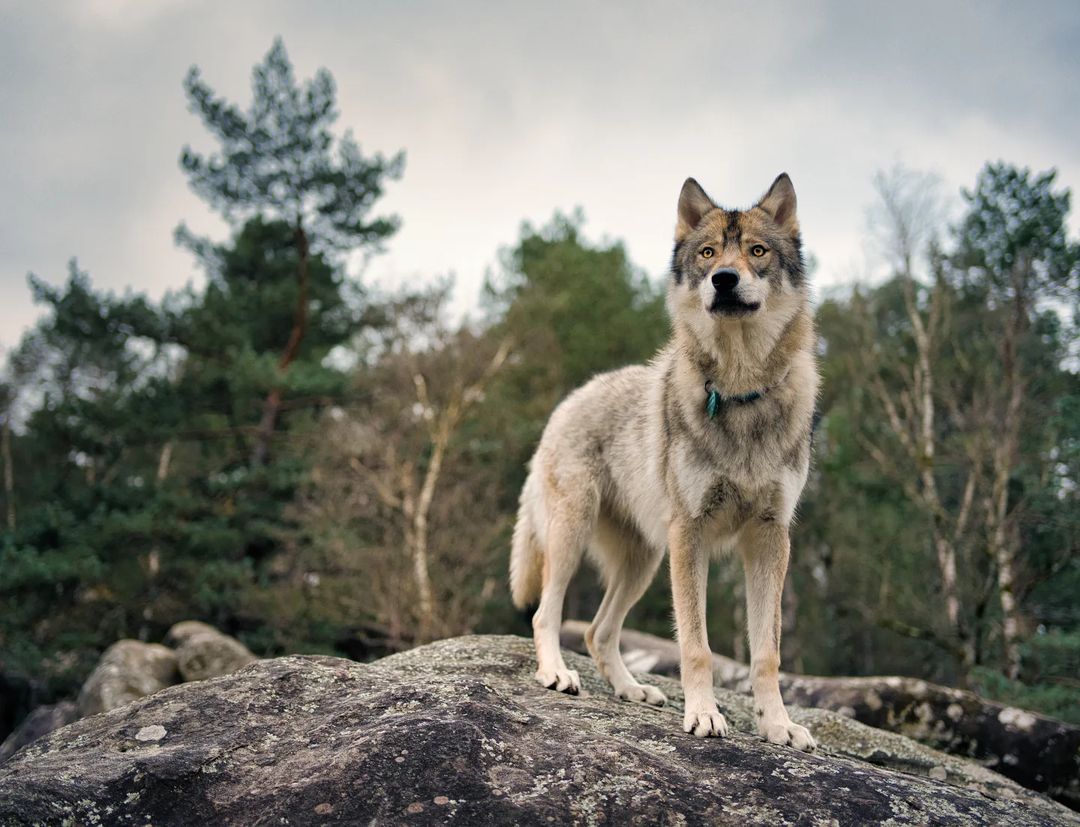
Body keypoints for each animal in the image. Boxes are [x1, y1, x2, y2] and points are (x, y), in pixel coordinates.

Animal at [509, 172, 812, 751]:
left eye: (757, 251)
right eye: (709, 253)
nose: (723, 279)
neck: (738, 393)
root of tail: (568, 400)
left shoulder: (770, 538)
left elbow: (767, 653)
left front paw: (779, 725)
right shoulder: (690, 534)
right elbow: (697, 646)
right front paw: (705, 715)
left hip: (645, 560)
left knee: (598, 631)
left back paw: (631, 690)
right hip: (576, 538)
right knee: (545, 614)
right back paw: (556, 673)